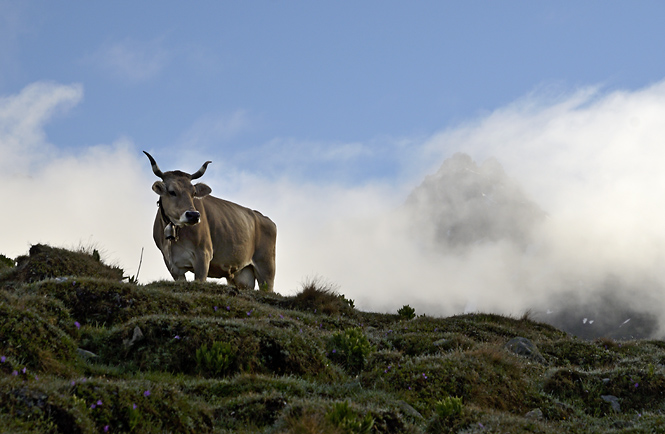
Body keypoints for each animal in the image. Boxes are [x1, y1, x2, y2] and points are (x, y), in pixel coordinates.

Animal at [145, 150, 278, 292]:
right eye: (172, 191)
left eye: (194, 193)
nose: (193, 215)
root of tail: (263, 217)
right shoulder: (172, 264)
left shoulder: (204, 255)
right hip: (242, 275)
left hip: (267, 268)